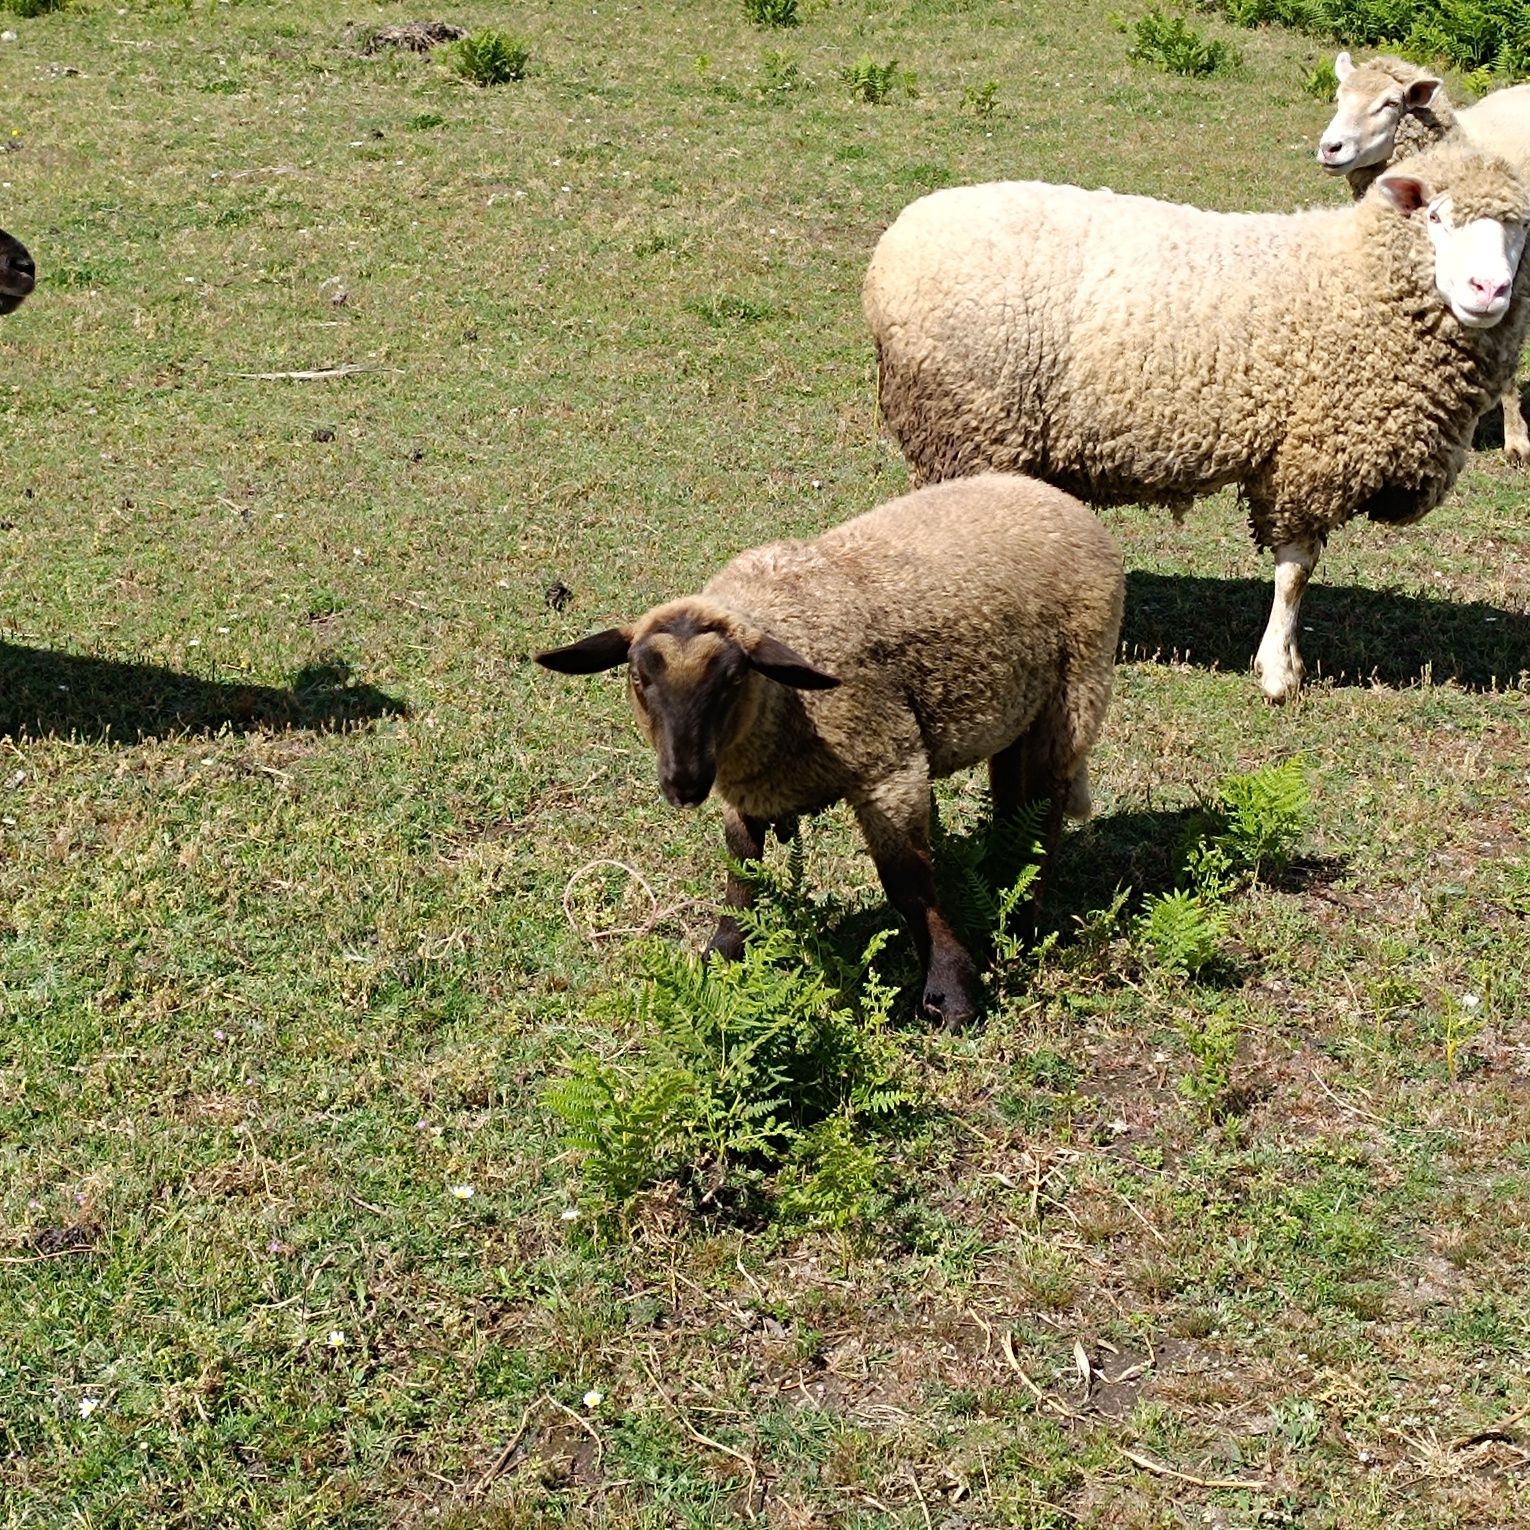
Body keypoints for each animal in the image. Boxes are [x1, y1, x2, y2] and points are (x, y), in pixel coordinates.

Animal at [538, 471, 1126, 1028]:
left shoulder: (890, 766)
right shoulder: (744, 791)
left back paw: (1025, 918)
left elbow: (909, 884)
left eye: (732, 679)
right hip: (1020, 712)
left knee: (1046, 811)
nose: (683, 783)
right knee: (1013, 800)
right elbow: (741, 876)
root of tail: (1046, 493)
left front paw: (951, 995)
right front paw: (721, 957)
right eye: (639, 678)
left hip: (1073, 695)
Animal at [869, 140, 1523, 700]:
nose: (1489, 288)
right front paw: (1278, 672)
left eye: (1520, 229)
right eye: (1436, 217)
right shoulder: (1307, 457)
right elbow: (1296, 570)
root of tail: (894, 246)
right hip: (968, 428)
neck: (1353, 278)